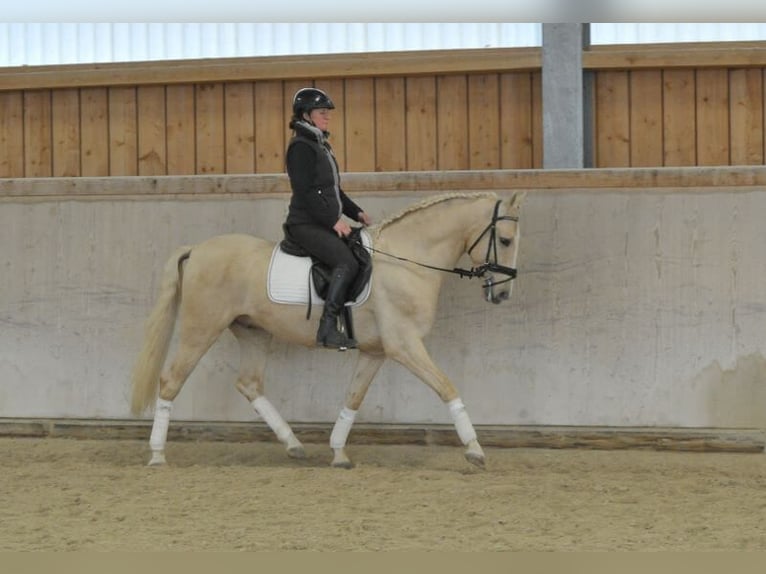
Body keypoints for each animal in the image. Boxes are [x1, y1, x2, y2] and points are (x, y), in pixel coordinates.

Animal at [134, 191, 528, 470]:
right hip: (201, 328)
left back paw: (294, 445)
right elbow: (447, 387)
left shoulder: (376, 351)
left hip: (253, 332)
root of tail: (197, 249)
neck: (408, 260)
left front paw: (338, 453)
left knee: (249, 383)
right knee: (171, 380)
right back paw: (157, 455)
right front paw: (475, 450)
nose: (503, 294)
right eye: (506, 240)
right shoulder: (404, 346)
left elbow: (353, 398)